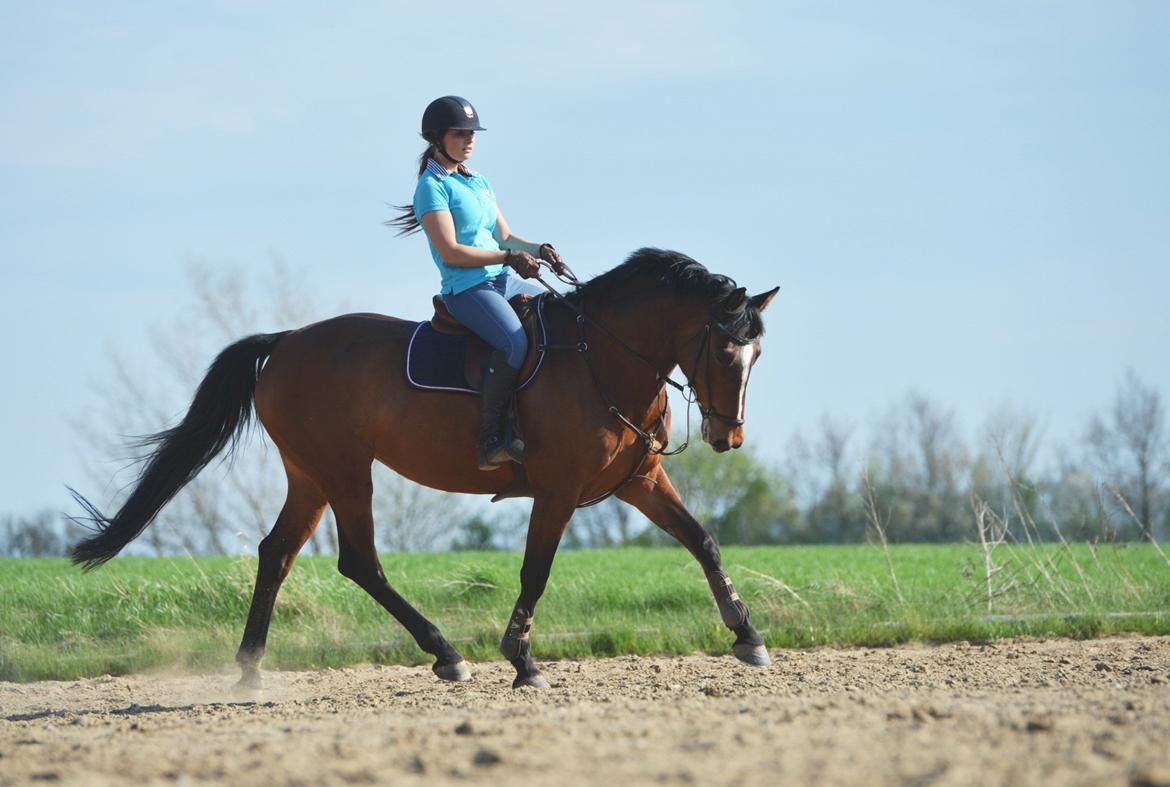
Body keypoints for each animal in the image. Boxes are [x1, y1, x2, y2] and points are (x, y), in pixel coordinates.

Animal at [70, 245, 776, 687]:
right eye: (723, 350)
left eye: (757, 355)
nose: (729, 435)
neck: (601, 356)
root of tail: (287, 342)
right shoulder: (558, 491)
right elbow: (536, 570)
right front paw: (521, 660)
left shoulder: (641, 482)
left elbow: (704, 542)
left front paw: (748, 636)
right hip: (345, 471)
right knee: (359, 561)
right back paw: (446, 653)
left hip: (310, 477)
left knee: (277, 553)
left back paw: (250, 668)